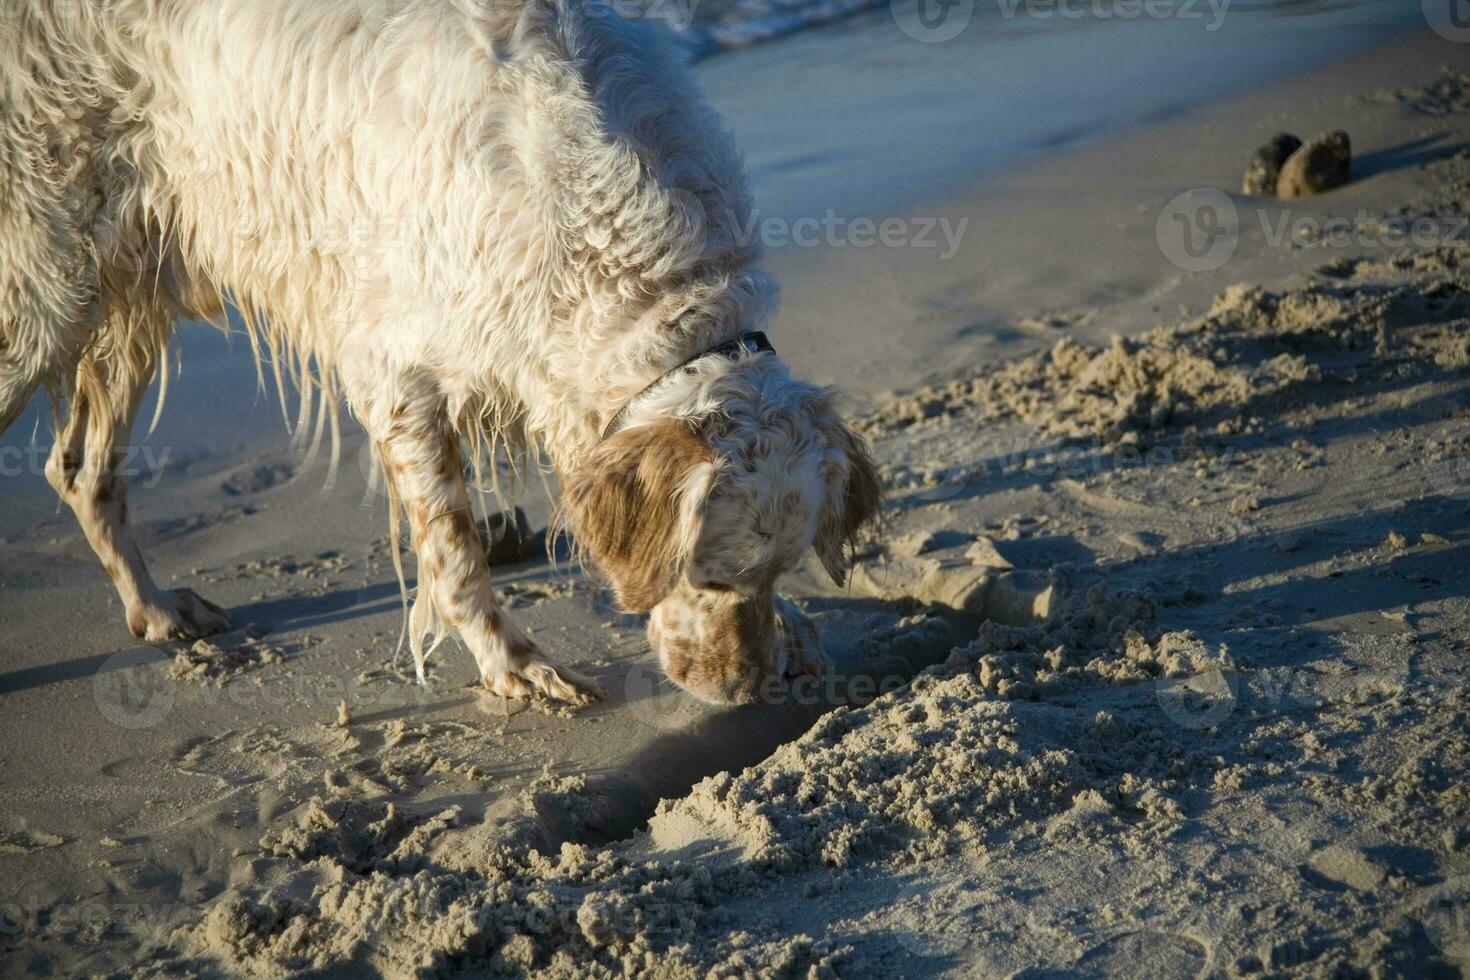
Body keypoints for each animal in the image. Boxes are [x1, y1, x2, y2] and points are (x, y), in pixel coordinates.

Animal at [0, 0, 870, 705]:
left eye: (777, 571)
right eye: (710, 575)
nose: (744, 689)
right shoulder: (395, 373)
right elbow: (454, 551)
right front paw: (513, 666)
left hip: (126, 292)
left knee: (81, 471)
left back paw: (155, 610)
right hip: (42, 291)